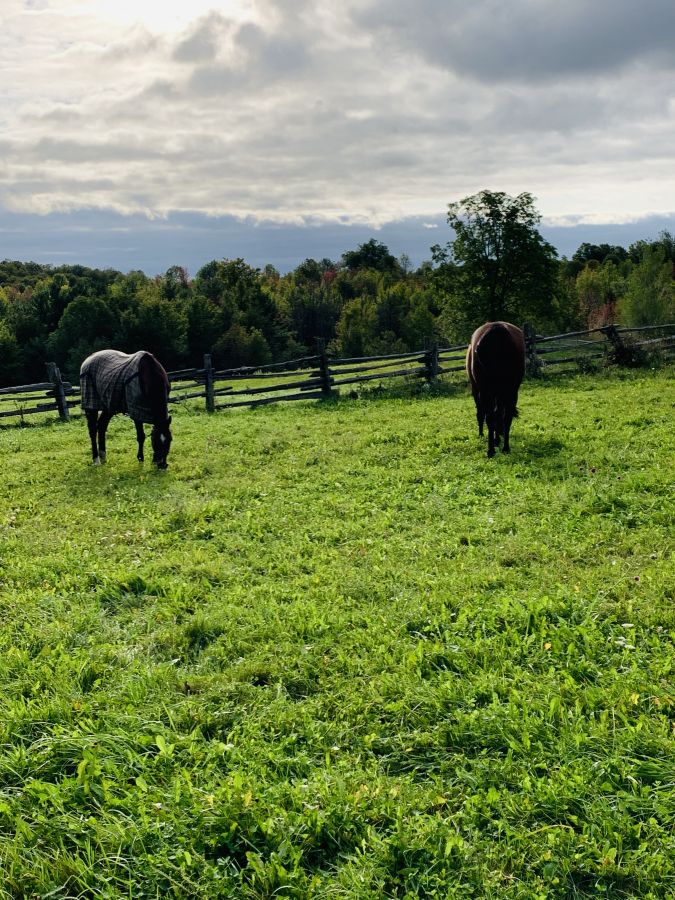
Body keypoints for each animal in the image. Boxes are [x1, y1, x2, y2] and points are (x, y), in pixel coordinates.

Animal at [468, 322, 524, 458]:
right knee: (486, 414)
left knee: (496, 414)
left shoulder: (508, 393)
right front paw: (492, 447)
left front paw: (503, 446)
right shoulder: (490, 393)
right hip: (484, 392)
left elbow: (503, 418)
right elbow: (494, 417)